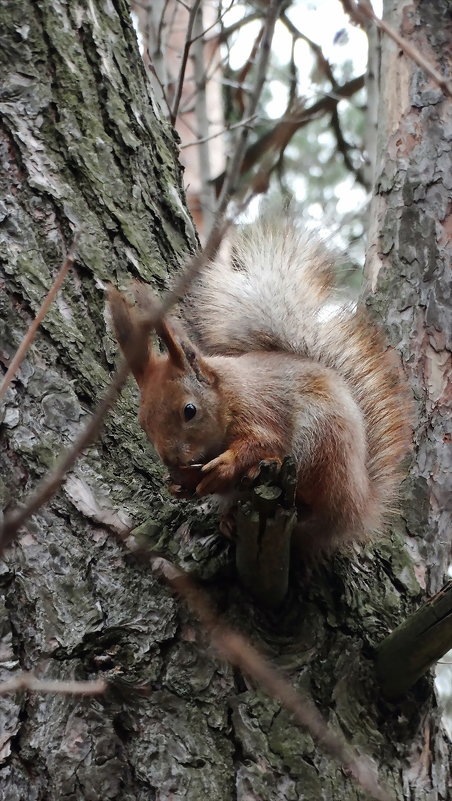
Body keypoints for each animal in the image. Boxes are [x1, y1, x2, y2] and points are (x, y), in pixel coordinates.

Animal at [108, 217, 410, 556]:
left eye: (190, 410)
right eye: (143, 423)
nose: (172, 461)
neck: (227, 397)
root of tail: (356, 507)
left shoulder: (259, 411)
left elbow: (263, 442)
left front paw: (227, 465)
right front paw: (179, 486)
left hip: (320, 443)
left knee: (307, 496)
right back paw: (228, 519)